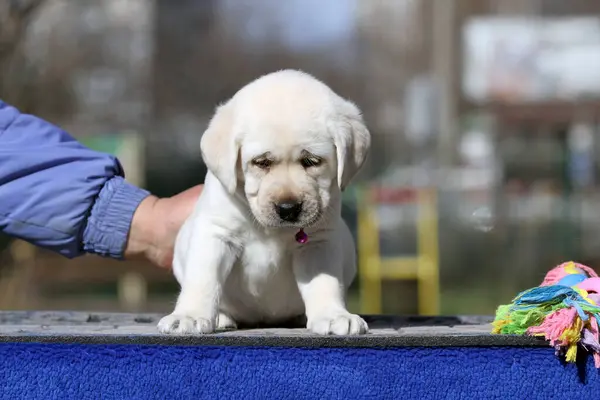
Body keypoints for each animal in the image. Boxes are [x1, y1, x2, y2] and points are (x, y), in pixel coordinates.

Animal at [157, 70, 370, 336]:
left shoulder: (318, 240)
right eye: (261, 162)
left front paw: (333, 315)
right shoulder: (216, 232)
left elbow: (324, 281)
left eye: (311, 161)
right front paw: (188, 315)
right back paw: (222, 317)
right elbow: (203, 278)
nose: (288, 209)